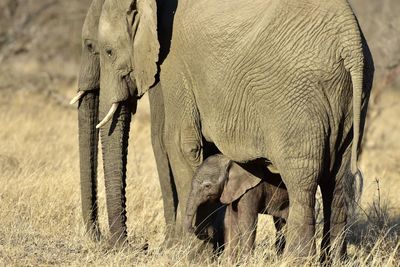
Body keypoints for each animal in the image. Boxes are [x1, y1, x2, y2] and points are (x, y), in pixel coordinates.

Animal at [95, 0, 374, 260]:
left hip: (299, 99)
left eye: (108, 52)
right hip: (349, 98)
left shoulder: (174, 60)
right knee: (337, 181)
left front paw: (193, 256)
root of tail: (351, 41)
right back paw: (333, 260)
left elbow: (182, 144)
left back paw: (296, 260)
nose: (133, 246)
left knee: (302, 182)